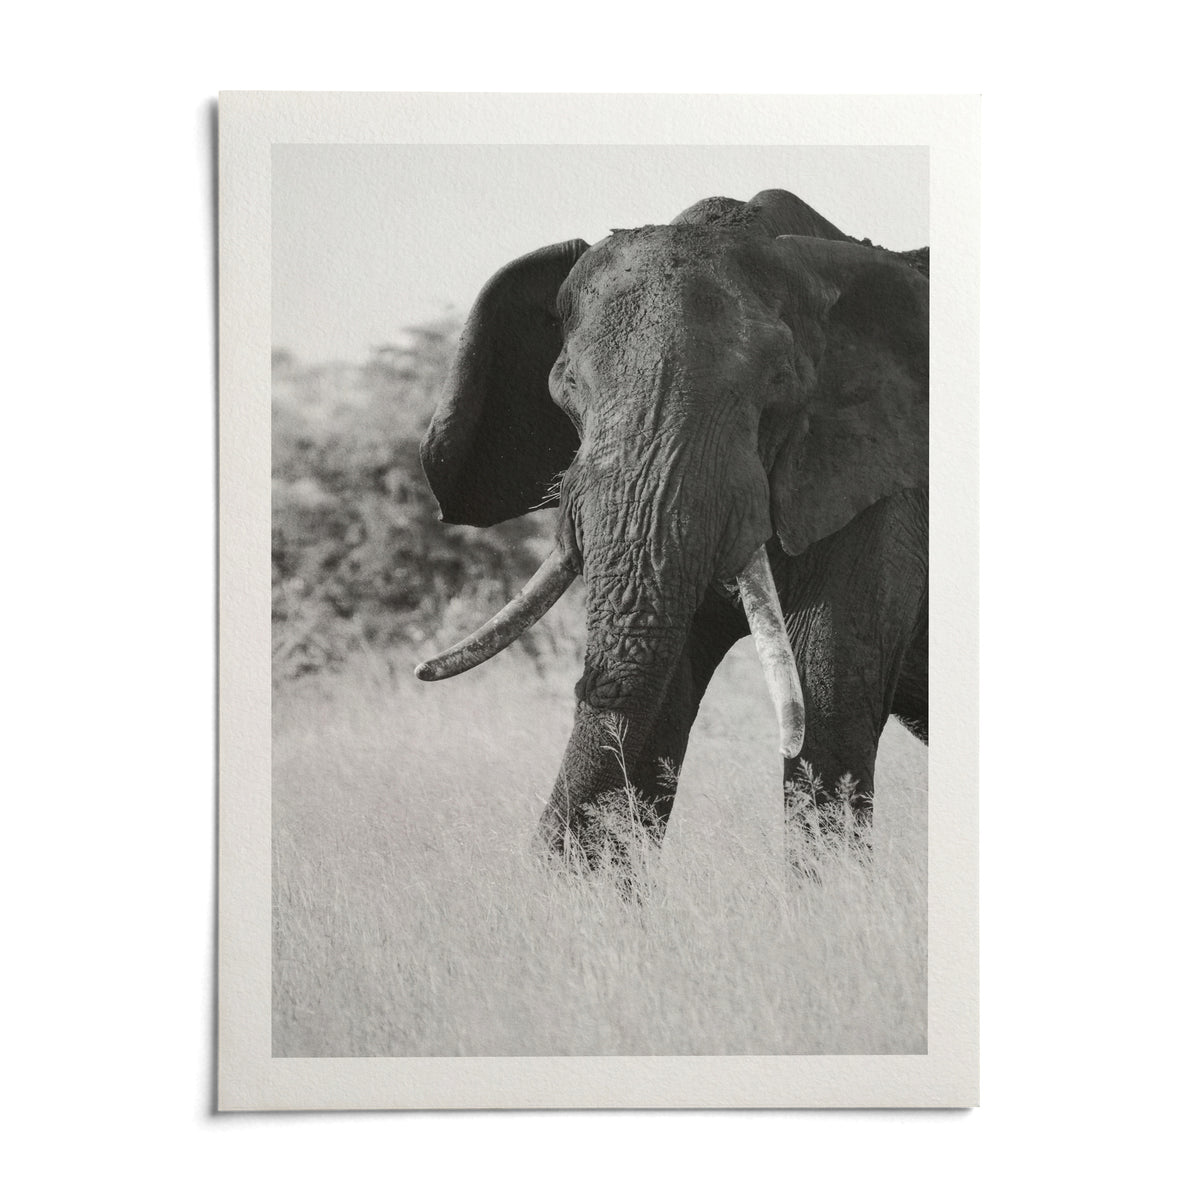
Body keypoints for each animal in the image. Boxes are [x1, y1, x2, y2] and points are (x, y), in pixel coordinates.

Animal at [416, 188, 928, 867]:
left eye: (779, 385)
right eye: (565, 386)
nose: (419, 672)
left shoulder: (882, 485)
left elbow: (831, 694)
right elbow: (661, 699)